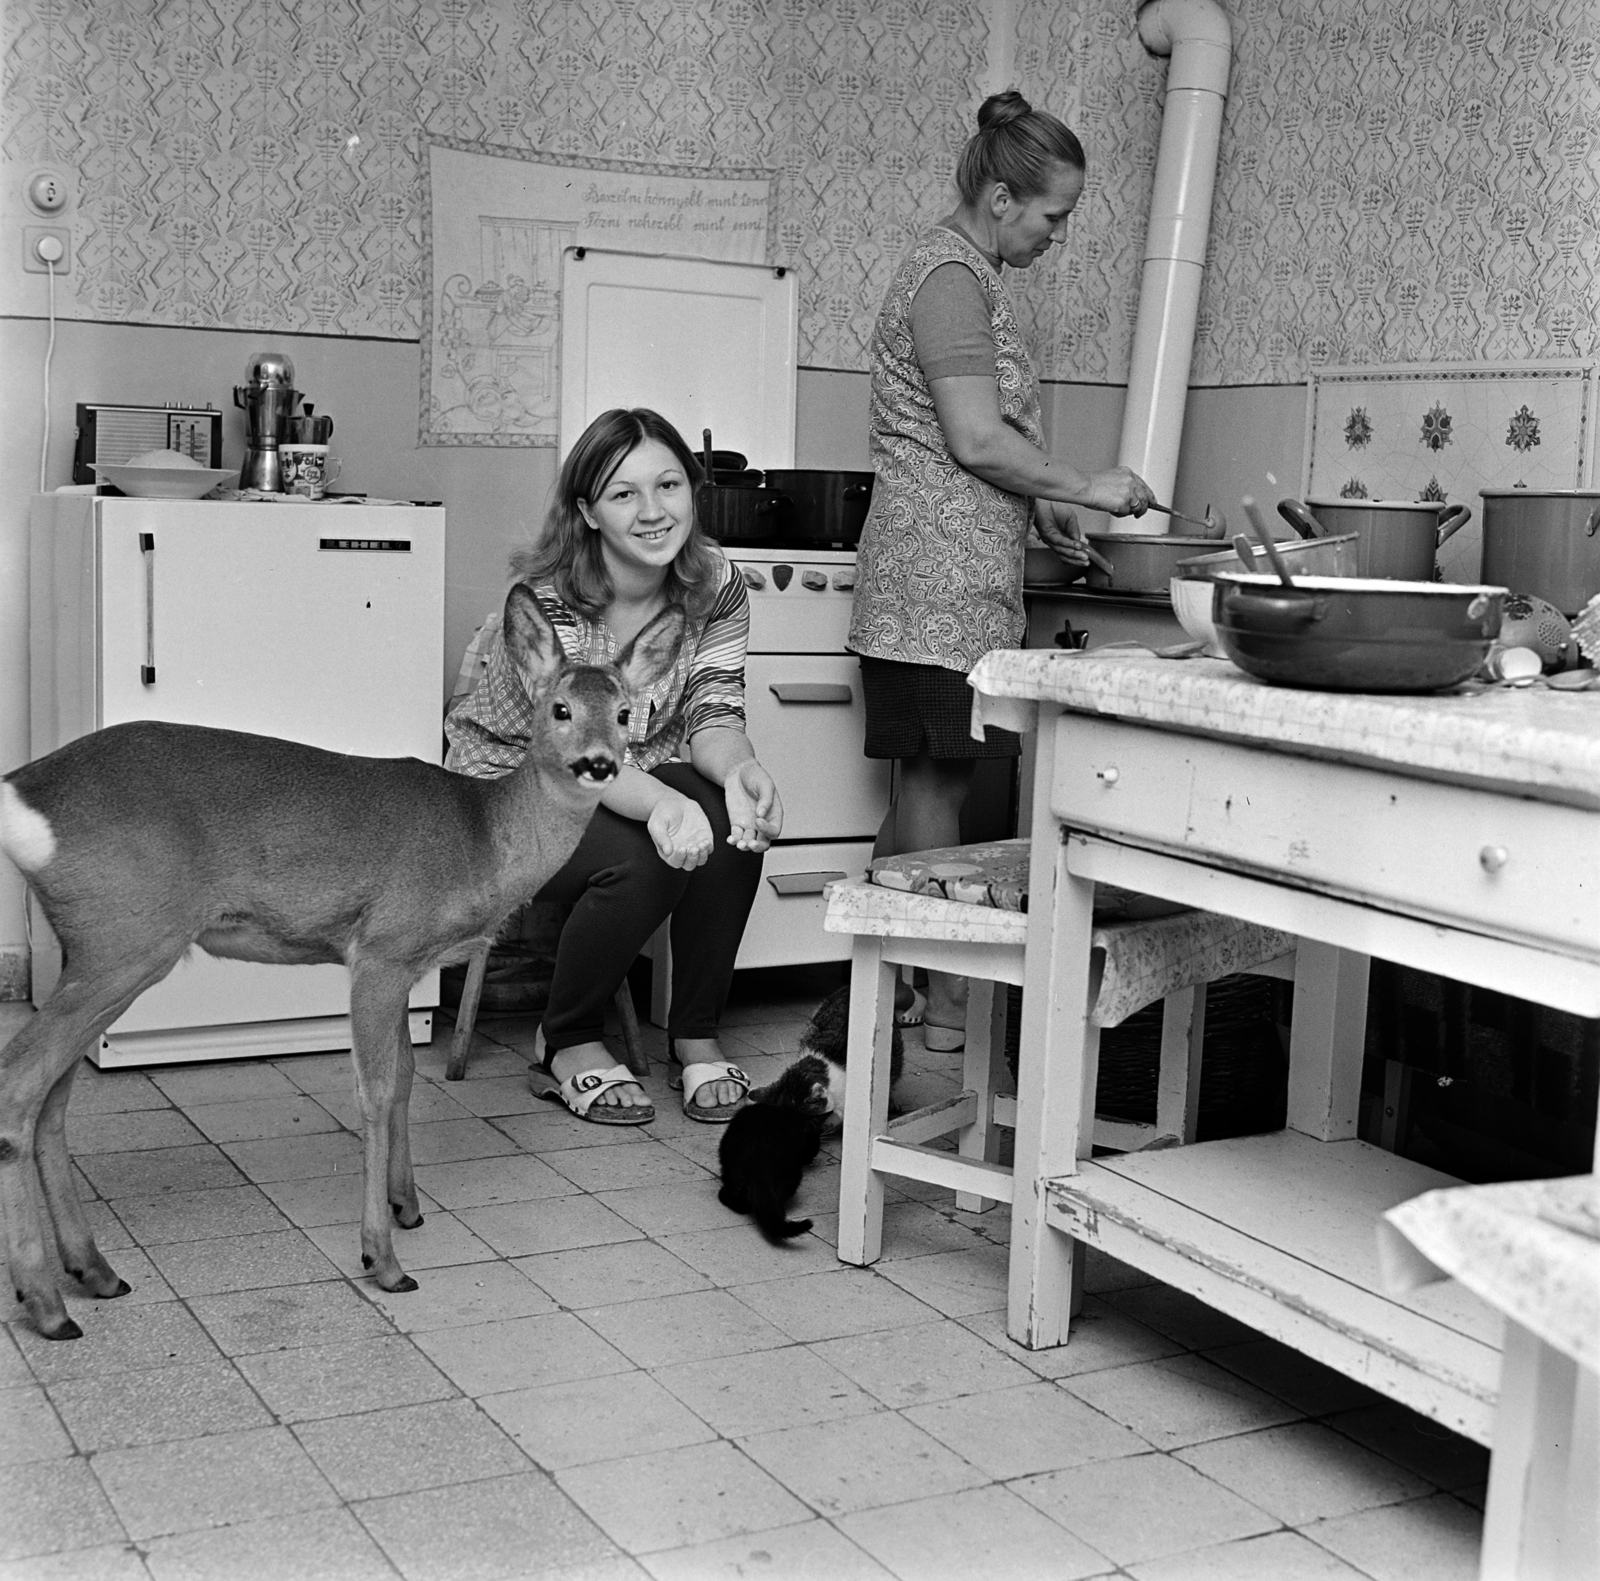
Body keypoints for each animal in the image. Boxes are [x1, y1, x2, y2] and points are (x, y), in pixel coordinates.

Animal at [0, 585, 681, 1337]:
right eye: (559, 708)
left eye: (624, 713)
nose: (599, 763)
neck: (481, 838)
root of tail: (21, 793)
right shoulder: (381, 947)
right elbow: (376, 1091)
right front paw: (382, 1258)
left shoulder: (411, 965)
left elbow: (408, 1076)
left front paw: (407, 1206)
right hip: (126, 937)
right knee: (20, 1082)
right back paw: (46, 1301)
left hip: (92, 947)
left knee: (52, 1095)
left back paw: (93, 1270)